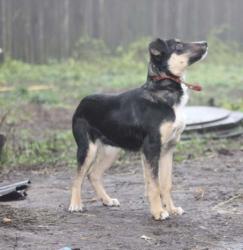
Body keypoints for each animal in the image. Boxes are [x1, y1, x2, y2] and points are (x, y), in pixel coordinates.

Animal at [68, 38, 207, 220]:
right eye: (178, 46)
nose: (205, 43)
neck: (163, 92)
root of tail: (82, 102)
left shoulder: (168, 149)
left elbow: (166, 184)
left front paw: (171, 209)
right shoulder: (151, 147)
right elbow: (154, 185)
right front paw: (158, 212)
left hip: (111, 150)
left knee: (93, 174)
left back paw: (107, 200)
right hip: (87, 148)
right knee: (78, 177)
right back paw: (75, 204)